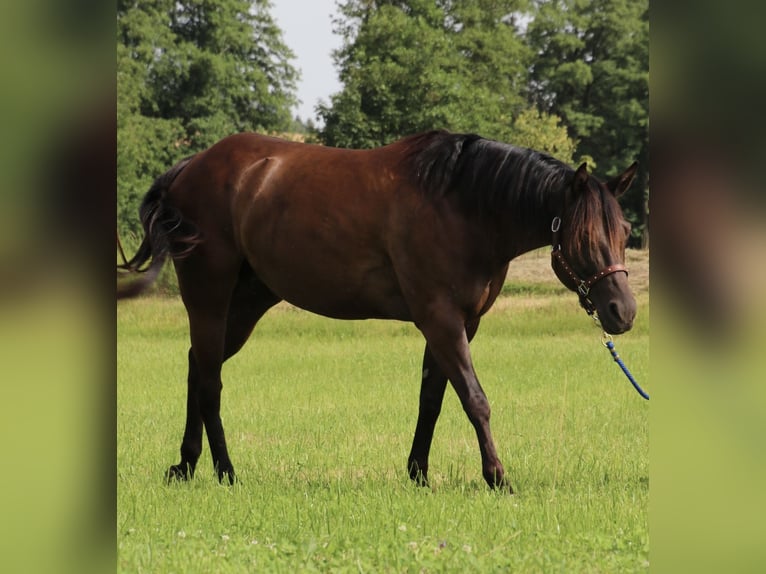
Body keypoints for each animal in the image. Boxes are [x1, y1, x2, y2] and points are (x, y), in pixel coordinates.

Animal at [120, 132, 640, 496]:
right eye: (583, 236)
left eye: (626, 230)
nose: (623, 312)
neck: (462, 204)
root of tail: (190, 168)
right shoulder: (440, 318)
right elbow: (474, 399)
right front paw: (498, 478)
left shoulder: (457, 324)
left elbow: (432, 399)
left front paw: (419, 473)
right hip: (208, 294)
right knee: (210, 382)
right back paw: (226, 471)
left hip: (246, 303)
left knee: (197, 365)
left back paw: (186, 465)